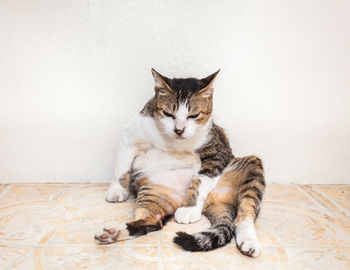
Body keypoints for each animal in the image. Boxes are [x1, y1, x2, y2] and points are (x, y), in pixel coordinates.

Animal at [94, 68, 264, 256]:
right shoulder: (130, 136)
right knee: (152, 222)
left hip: (251, 166)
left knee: (245, 214)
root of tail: (216, 203)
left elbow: (200, 181)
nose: (179, 130)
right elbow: (121, 166)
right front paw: (117, 189)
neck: (171, 143)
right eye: (168, 114)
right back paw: (114, 233)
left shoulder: (216, 153)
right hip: (153, 191)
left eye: (193, 115)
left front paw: (189, 210)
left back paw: (248, 240)